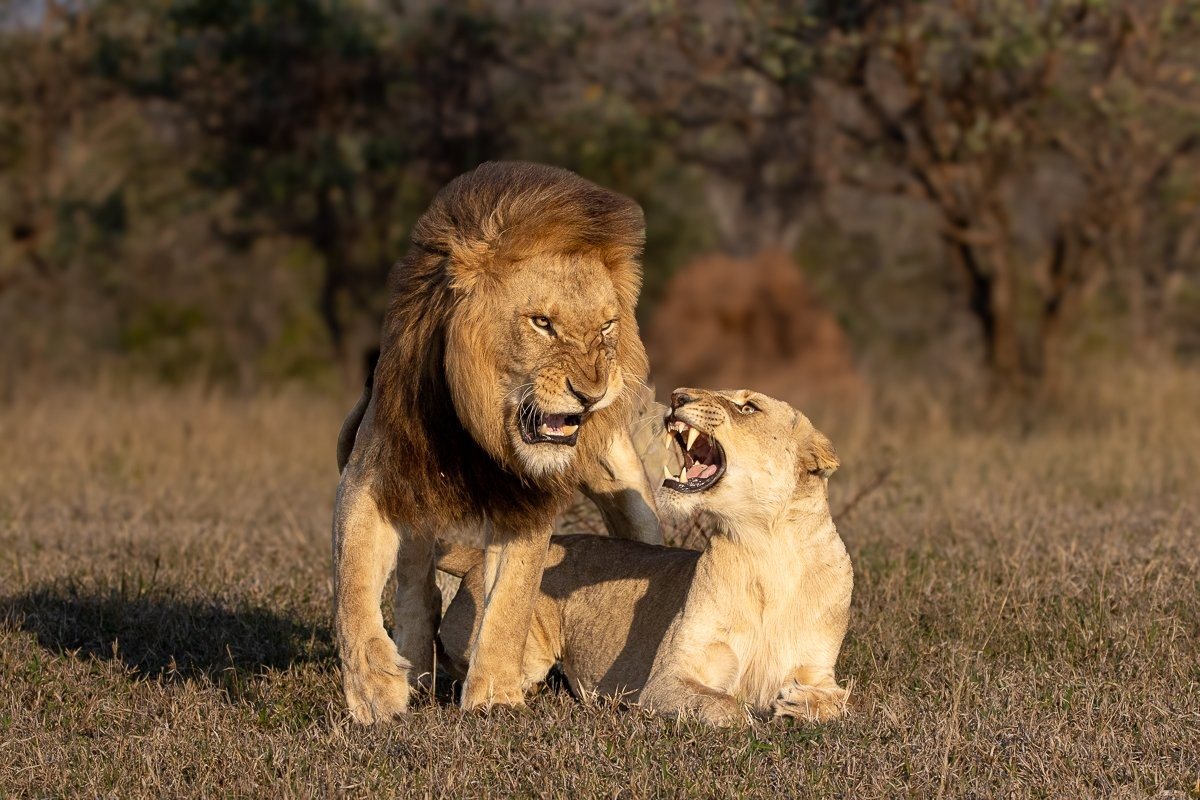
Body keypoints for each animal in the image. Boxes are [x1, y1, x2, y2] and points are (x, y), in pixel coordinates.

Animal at [334, 162, 662, 723]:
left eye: (606, 327)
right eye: (542, 323)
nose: (592, 393)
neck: (480, 431)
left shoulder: (526, 501)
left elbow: (510, 599)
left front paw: (493, 698)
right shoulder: (375, 475)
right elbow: (352, 584)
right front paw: (375, 691)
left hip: (625, 487)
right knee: (417, 585)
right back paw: (417, 669)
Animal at [437, 388, 853, 725]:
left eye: (748, 407)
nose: (678, 396)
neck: (765, 548)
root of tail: (475, 559)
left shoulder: (818, 668)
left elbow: (839, 701)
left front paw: (801, 703)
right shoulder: (666, 679)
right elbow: (727, 707)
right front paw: (753, 713)